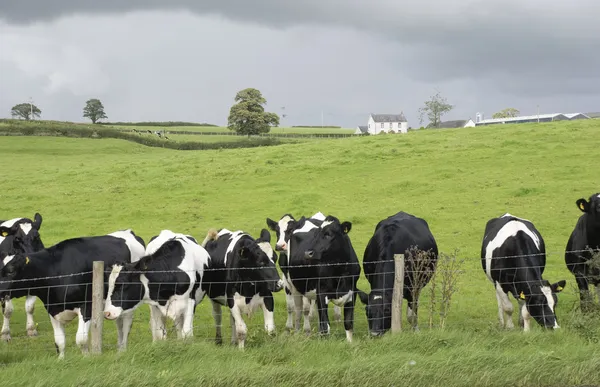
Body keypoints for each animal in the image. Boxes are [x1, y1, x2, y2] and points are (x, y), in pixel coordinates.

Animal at [0, 229, 146, 360]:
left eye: (11, 271)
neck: (54, 271)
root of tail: (129, 232)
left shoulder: (86, 306)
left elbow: (81, 339)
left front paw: (86, 357)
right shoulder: (52, 309)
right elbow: (59, 341)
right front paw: (61, 360)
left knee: (126, 324)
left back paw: (123, 350)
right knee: (119, 323)